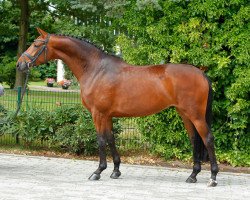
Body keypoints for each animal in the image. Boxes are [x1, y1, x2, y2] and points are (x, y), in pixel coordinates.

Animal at [16, 28, 219, 188]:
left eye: (36, 44)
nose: (20, 64)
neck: (96, 69)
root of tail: (201, 73)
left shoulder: (98, 114)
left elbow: (100, 140)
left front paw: (98, 171)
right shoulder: (107, 115)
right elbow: (111, 139)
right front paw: (115, 170)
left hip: (195, 115)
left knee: (207, 139)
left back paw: (213, 177)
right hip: (185, 114)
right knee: (194, 140)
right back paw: (193, 175)